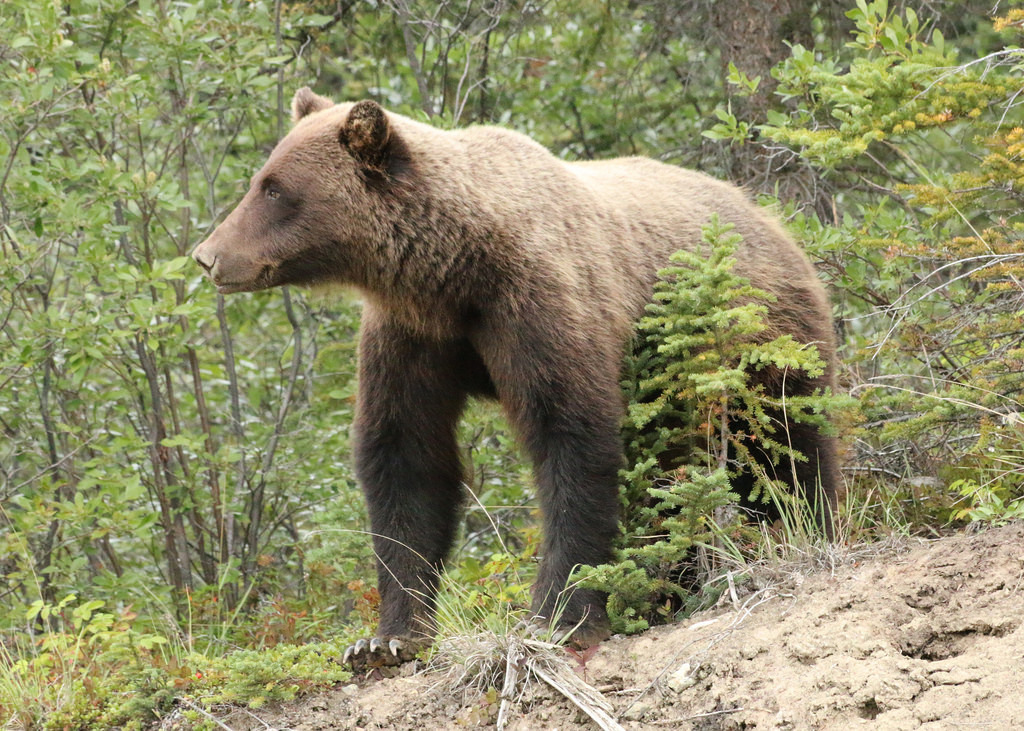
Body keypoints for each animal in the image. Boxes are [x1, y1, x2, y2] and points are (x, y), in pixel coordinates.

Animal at [192, 87, 838, 666]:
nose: (209, 255)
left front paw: (563, 612)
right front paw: (387, 639)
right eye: (262, 178)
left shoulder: (537, 302)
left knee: (787, 441)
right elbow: (405, 457)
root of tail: (764, 212)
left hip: (759, 336)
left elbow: (571, 436)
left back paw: (805, 528)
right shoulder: (411, 335)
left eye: (275, 188)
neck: (454, 272)